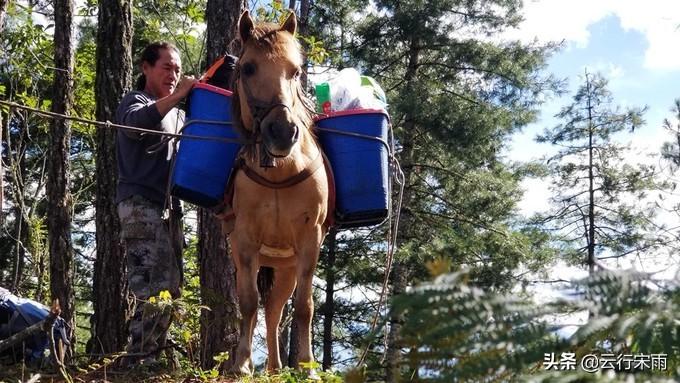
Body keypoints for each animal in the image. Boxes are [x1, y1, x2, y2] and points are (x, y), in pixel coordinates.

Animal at [224, 10, 328, 376]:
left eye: (296, 71)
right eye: (248, 68)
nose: (283, 132)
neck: (282, 171)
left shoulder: (310, 241)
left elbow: (305, 307)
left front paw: (308, 366)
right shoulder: (244, 242)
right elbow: (248, 303)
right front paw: (241, 364)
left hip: (286, 268)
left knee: (276, 310)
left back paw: (276, 367)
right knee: (267, 309)